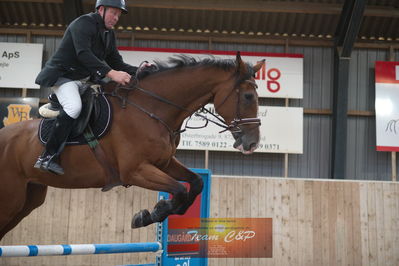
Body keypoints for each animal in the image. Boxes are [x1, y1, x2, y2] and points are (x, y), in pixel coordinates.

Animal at [0, 51, 266, 239]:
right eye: (247, 97)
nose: (252, 143)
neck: (151, 108)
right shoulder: (135, 171)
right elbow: (179, 189)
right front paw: (152, 213)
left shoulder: (164, 162)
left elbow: (195, 183)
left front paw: (155, 212)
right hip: (11, 198)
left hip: (28, 198)